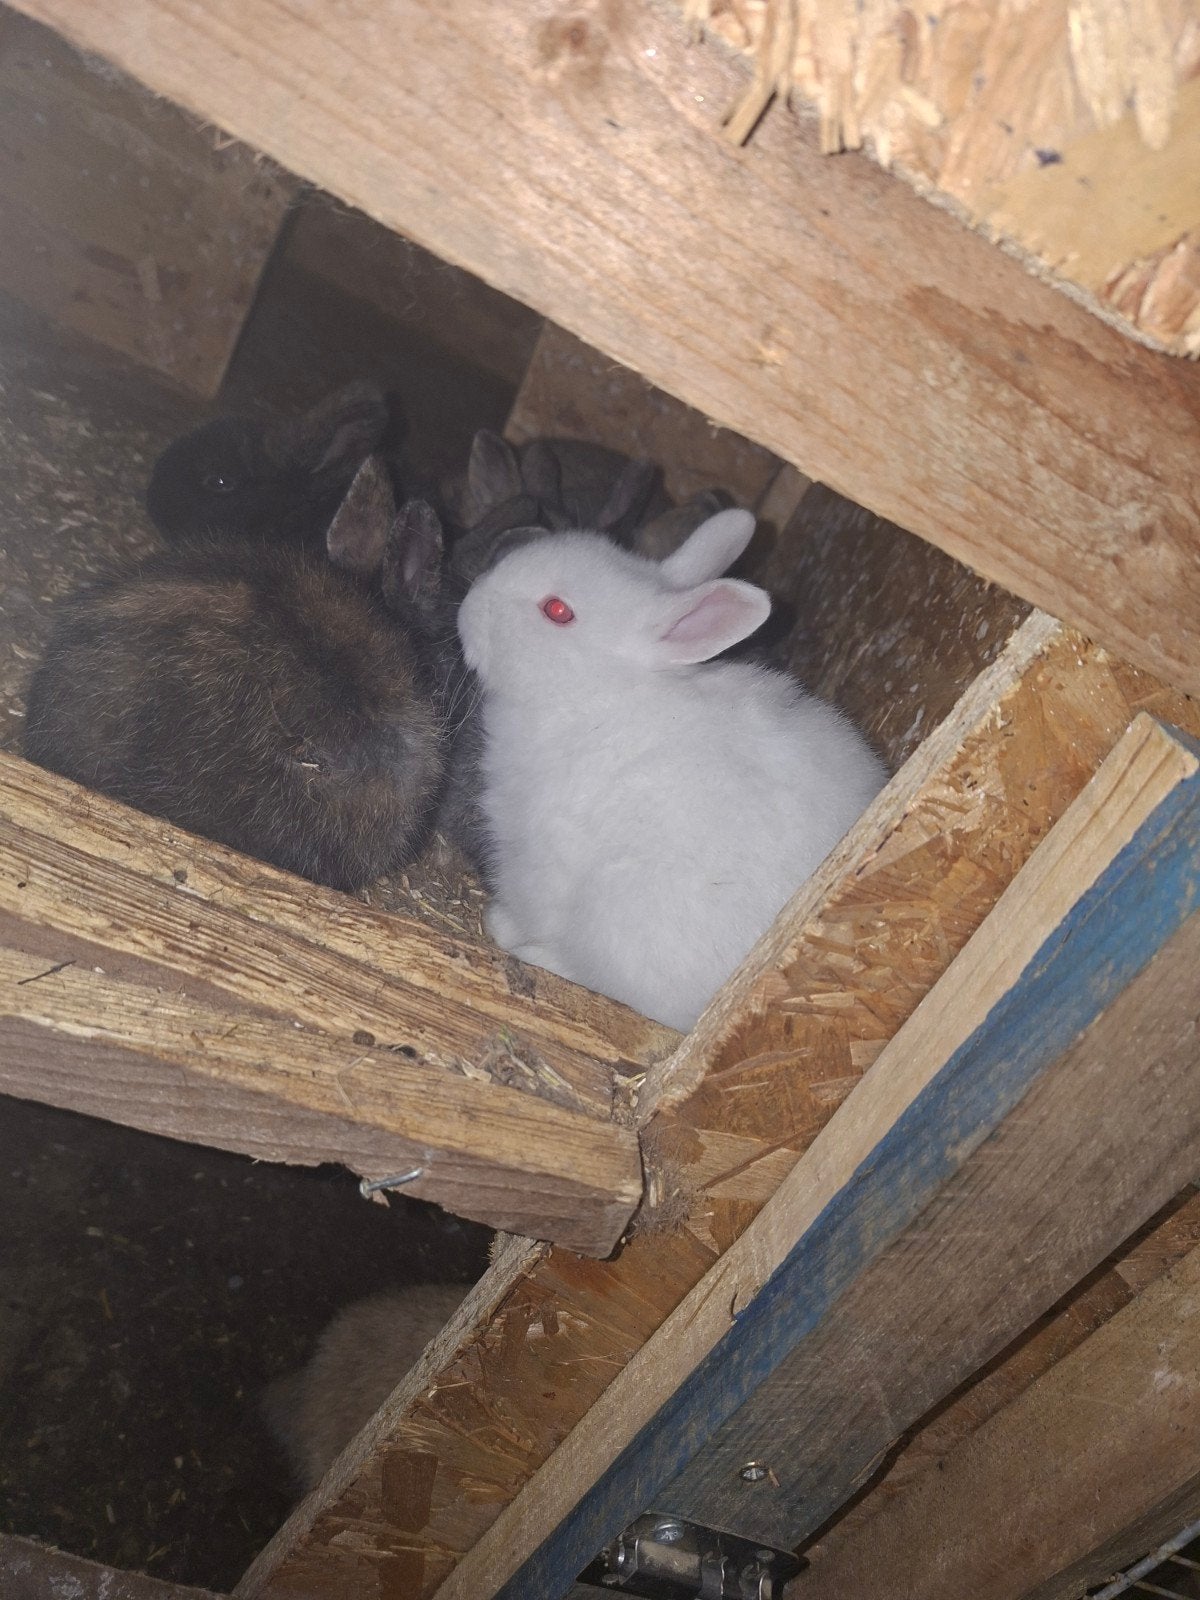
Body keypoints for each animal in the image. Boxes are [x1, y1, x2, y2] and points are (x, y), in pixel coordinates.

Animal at [457, 509, 887, 1032]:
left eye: (557, 611)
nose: (469, 604)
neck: (596, 695)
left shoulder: (540, 853)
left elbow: (531, 906)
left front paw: (501, 925)